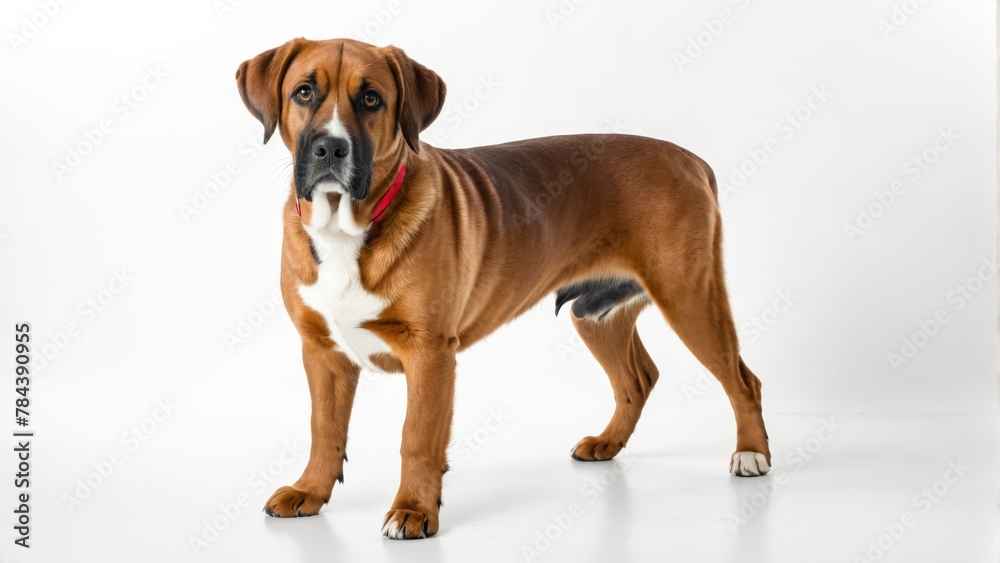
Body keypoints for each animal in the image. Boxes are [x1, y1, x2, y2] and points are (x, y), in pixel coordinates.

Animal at [236, 37, 772, 540]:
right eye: (304, 92)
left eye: (371, 99)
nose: (330, 148)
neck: (347, 228)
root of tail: (690, 160)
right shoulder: (321, 352)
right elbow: (324, 429)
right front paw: (310, 491)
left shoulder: (430, 354)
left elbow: (417, 438)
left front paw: (413, 509)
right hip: (596, 315)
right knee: (637, 379)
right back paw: (608, 443)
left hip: (690, 299)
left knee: (742, 380)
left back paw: (751, 454)